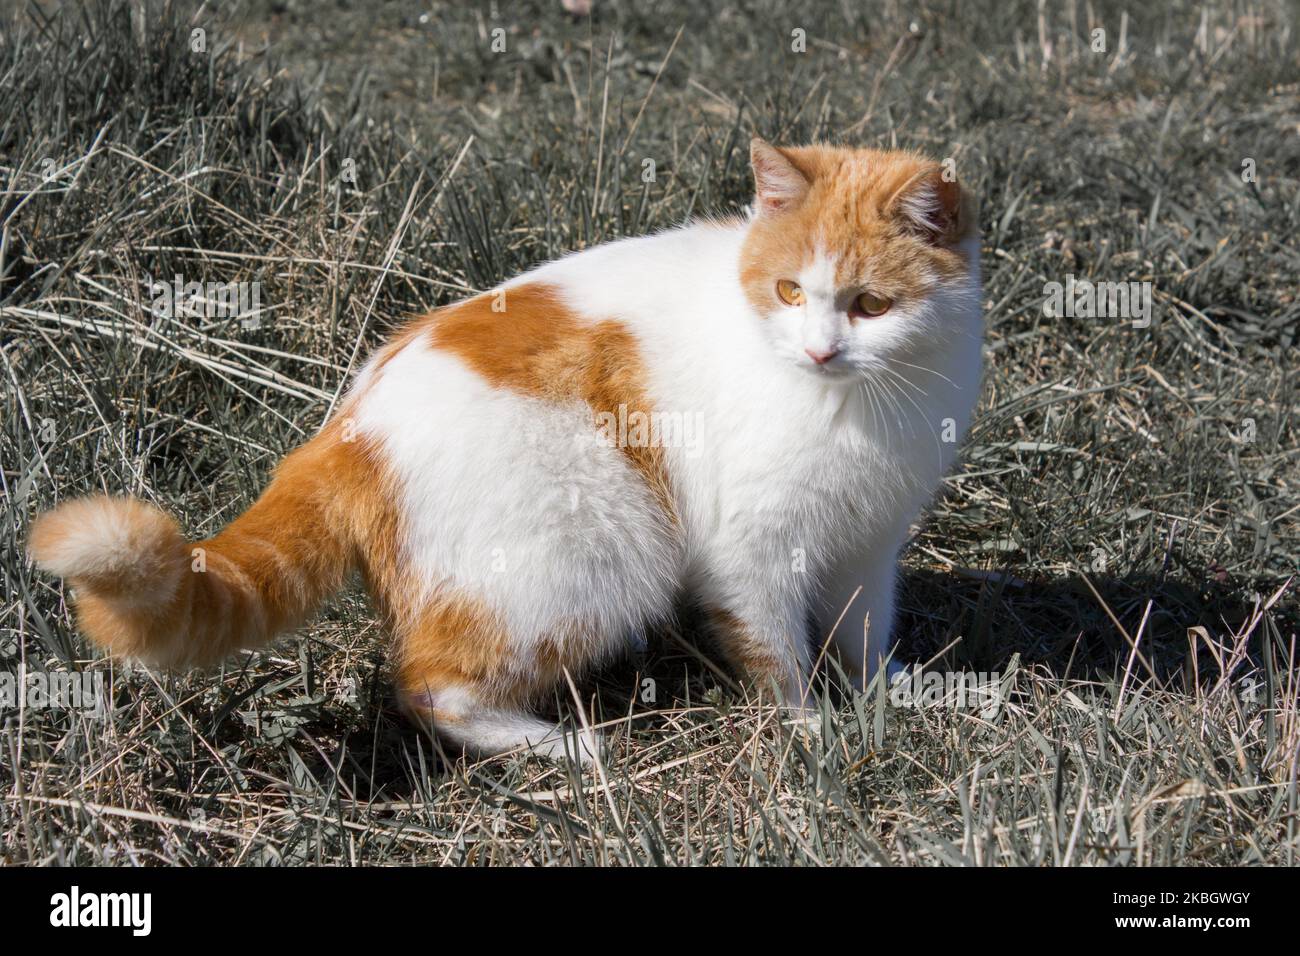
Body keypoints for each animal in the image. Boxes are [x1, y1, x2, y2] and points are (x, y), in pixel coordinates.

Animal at [27, 140, 982, 764]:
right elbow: (775, 651)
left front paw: (889, 695)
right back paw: (562, 751)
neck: (857, 401)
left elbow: (865, 629)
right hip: (603, 548)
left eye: (870, 305)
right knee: (430, 685)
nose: (821, 350)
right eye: (788, 291)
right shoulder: (747, 548)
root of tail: (345, 430)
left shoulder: (867, 540)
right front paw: (810, 731)